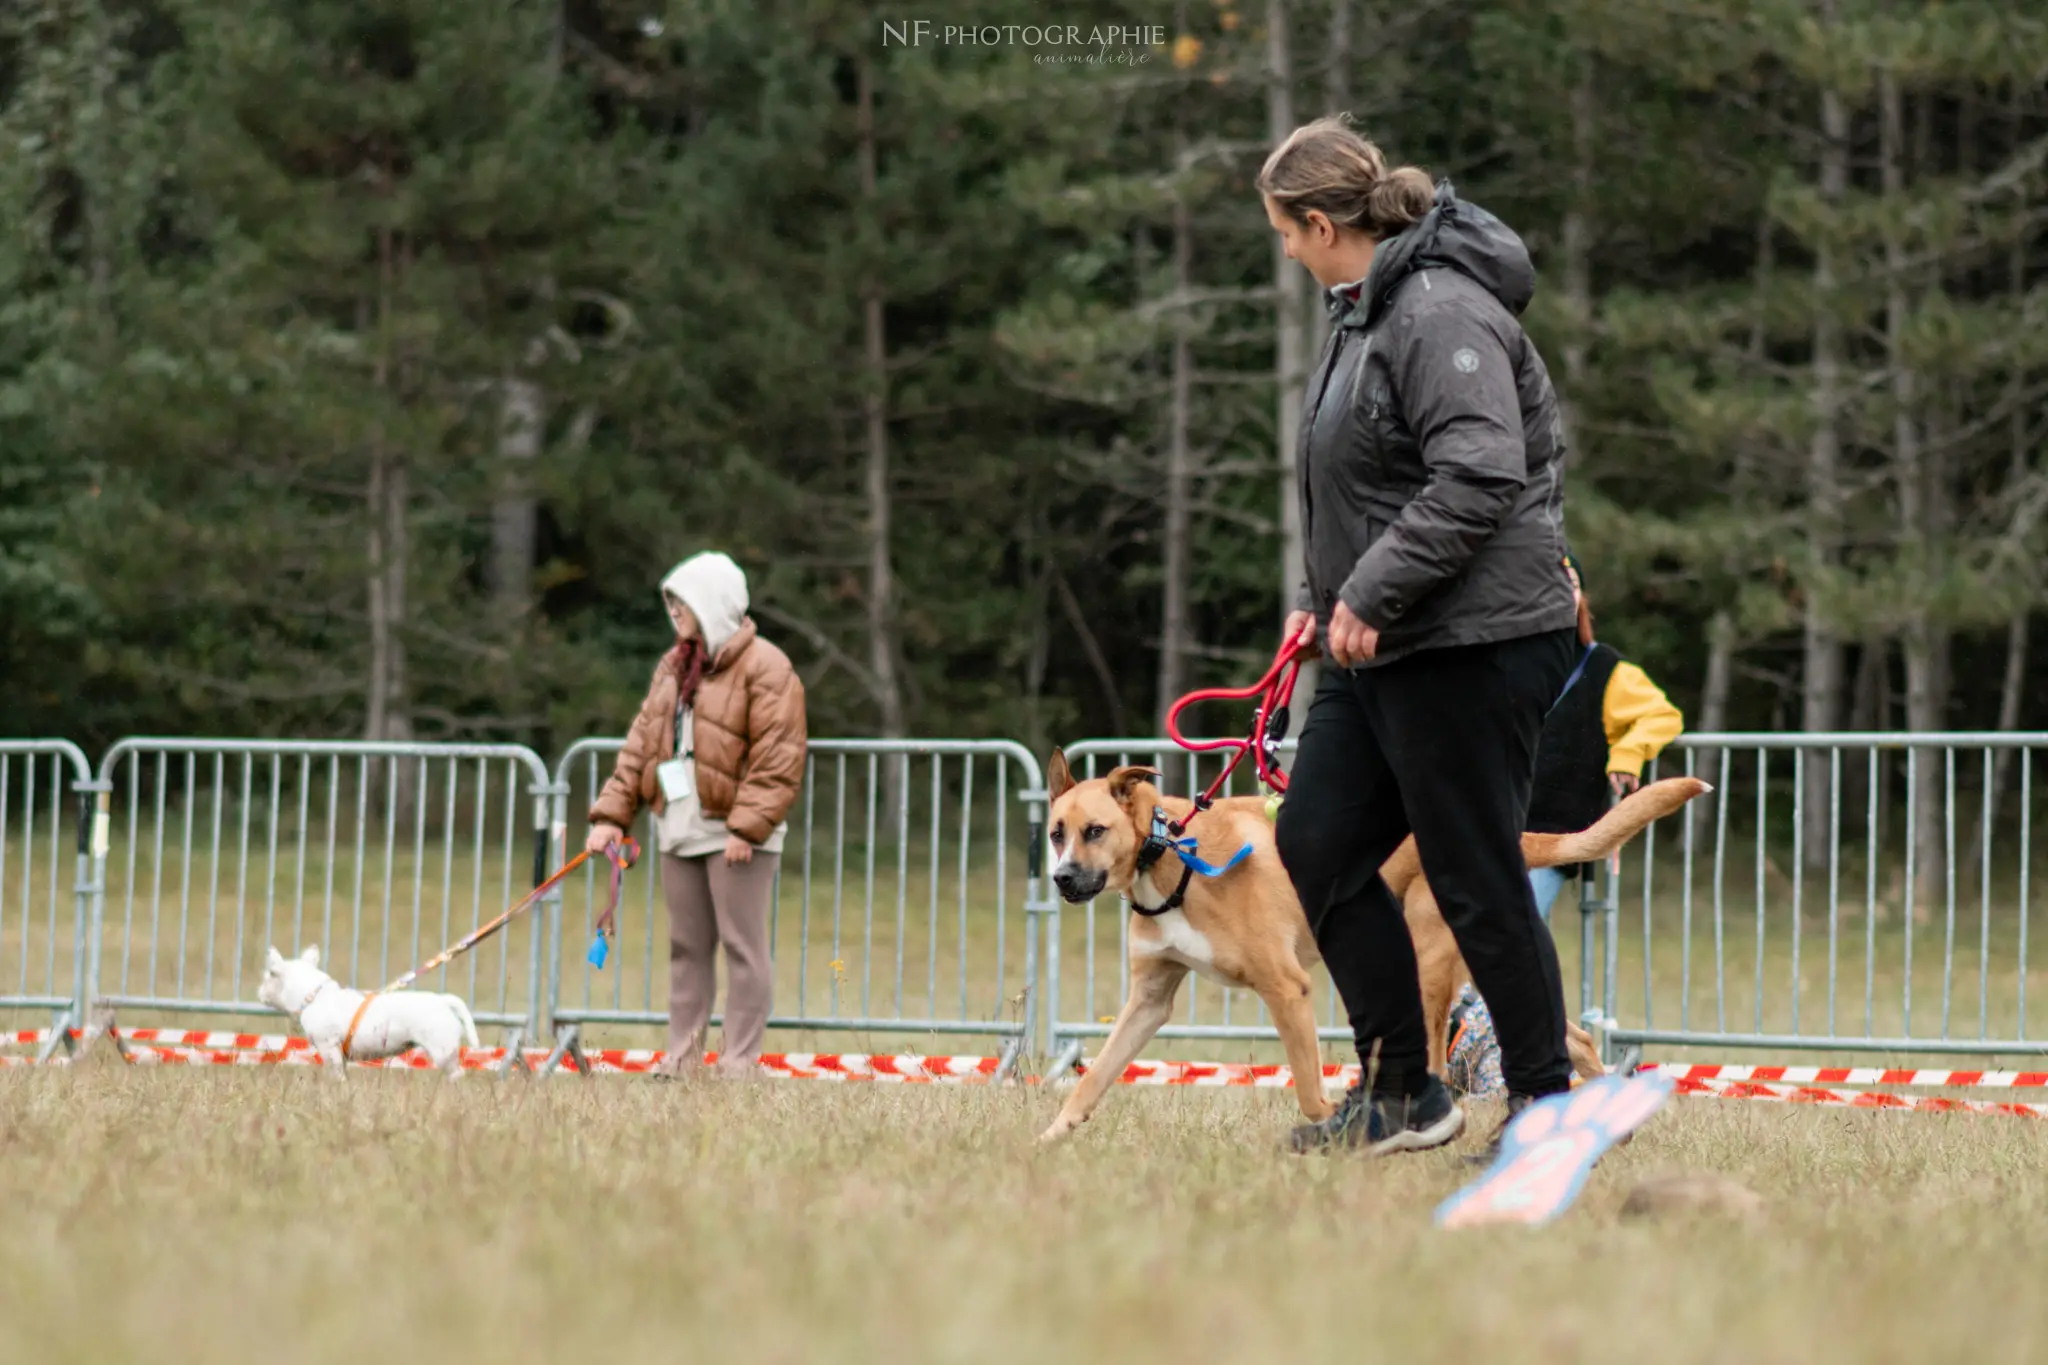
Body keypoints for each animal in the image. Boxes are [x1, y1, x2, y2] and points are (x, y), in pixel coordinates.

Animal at [253, 945, 477, 1080]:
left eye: (268, 976)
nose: (259, 992)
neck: (314, 995)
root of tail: (443, 1000)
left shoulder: (328, 1047)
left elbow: (336, 1074)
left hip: (442, 1049)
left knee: (456, 1074)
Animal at [1040, 753, 1712, 1146]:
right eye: (1055, 833)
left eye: (1096, 830)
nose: (1063, 879)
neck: (1169, 851)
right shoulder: (1150, 999)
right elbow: (1096, 1075)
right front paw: (1052, 1136)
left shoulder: (1287, 988)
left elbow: (1309, 1091)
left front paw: (1333, 1126)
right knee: (1573, 1035)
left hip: (1429, 960)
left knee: (1443, 1052)